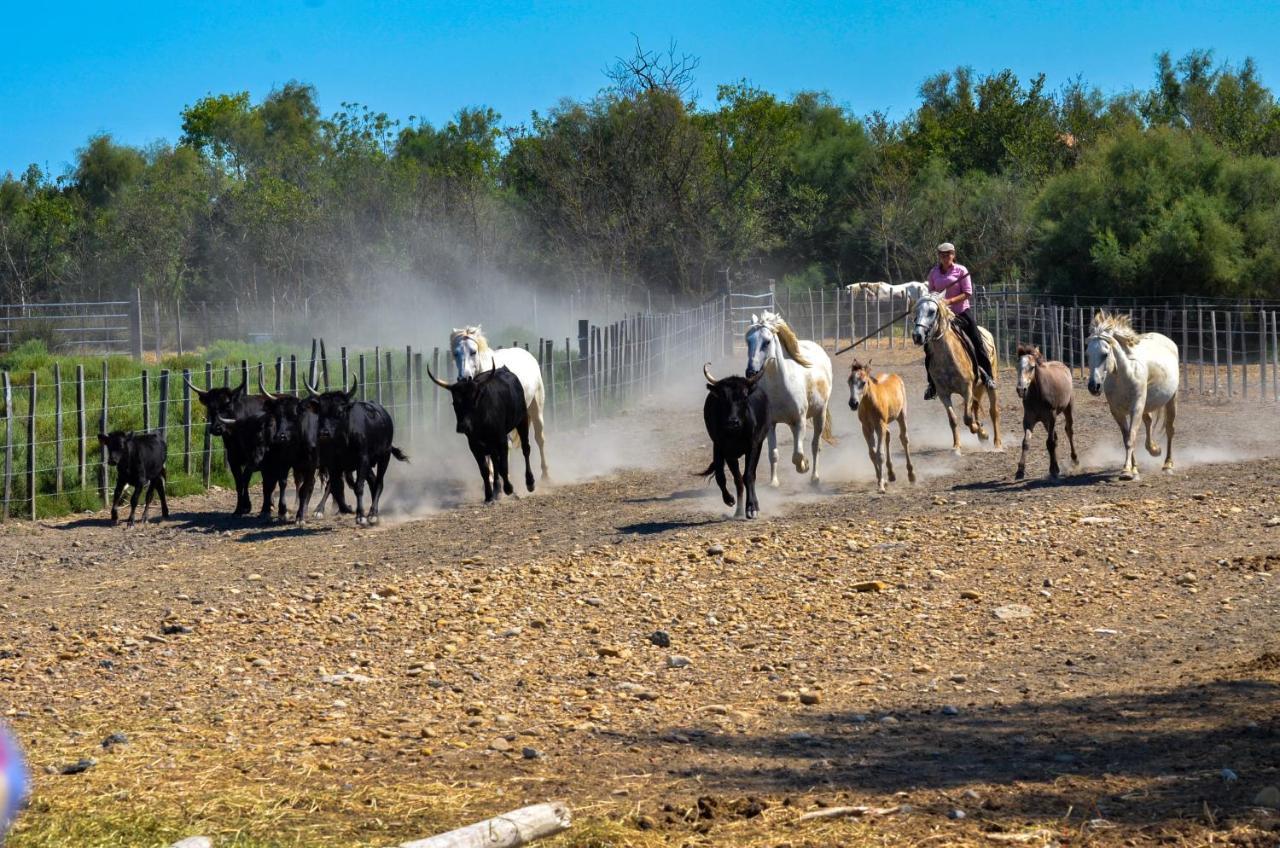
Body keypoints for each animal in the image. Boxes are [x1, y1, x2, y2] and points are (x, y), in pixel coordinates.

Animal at [453, 326, 547, 484]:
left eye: (473, 351)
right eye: (455, 353)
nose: (464, 379)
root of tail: (527, 354)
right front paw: (492, 478)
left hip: (536, 409)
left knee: (539, 438)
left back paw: (545, 475)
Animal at [747, 311, 834, 484]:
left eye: (767, 342)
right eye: (748, 341)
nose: (751, 372)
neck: (780, 387)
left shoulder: (800, 421)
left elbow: (797, 455)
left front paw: (804, 466)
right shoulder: (771, 424)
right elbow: (773, 453)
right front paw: (773, 482)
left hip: (819, 414)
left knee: (815, 445)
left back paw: (814, 477)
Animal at [844, 361, 916, 494]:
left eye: (863, 382)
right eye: (849, 381)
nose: (853, 403)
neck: (869, 404)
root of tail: (895, 376)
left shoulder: (879, 425)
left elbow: (880, 454)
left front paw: (881, 486)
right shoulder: (866, 428)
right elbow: (872, 454)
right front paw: (881, 481)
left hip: (901, 415)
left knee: (904, 439)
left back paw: (911, 475)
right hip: (884, 423)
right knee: (888, 436)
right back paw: (891, 474)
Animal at [1013, 343, 1075, 479]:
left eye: (1032, 367)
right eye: (1017, 366)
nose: (1021, 389)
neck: (1038, 394)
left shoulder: (1052, 417)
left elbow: (1050, 442)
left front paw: (1053, 470)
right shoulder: (1029, 419)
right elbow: (1026, 442)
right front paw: (1020, 471)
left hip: (1067, 409)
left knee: (1069, 431)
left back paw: (1075, 459)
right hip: (1045, 421)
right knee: (1056, 437)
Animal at [1080, 313, 1177, 484]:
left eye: (1105, 354)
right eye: (1088, 354)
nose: (1094, 386)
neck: (1124, 376)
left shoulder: (1136, 408)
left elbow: (1131, 437)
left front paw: (1126, 471)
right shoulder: (1117, 412)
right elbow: (1126, 438)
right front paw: (1133, 469)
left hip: (1171, 399)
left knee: (1169, 429)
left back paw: (1167, 465)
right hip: (1146, 404)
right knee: (1149, 422)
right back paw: (1154, 450)